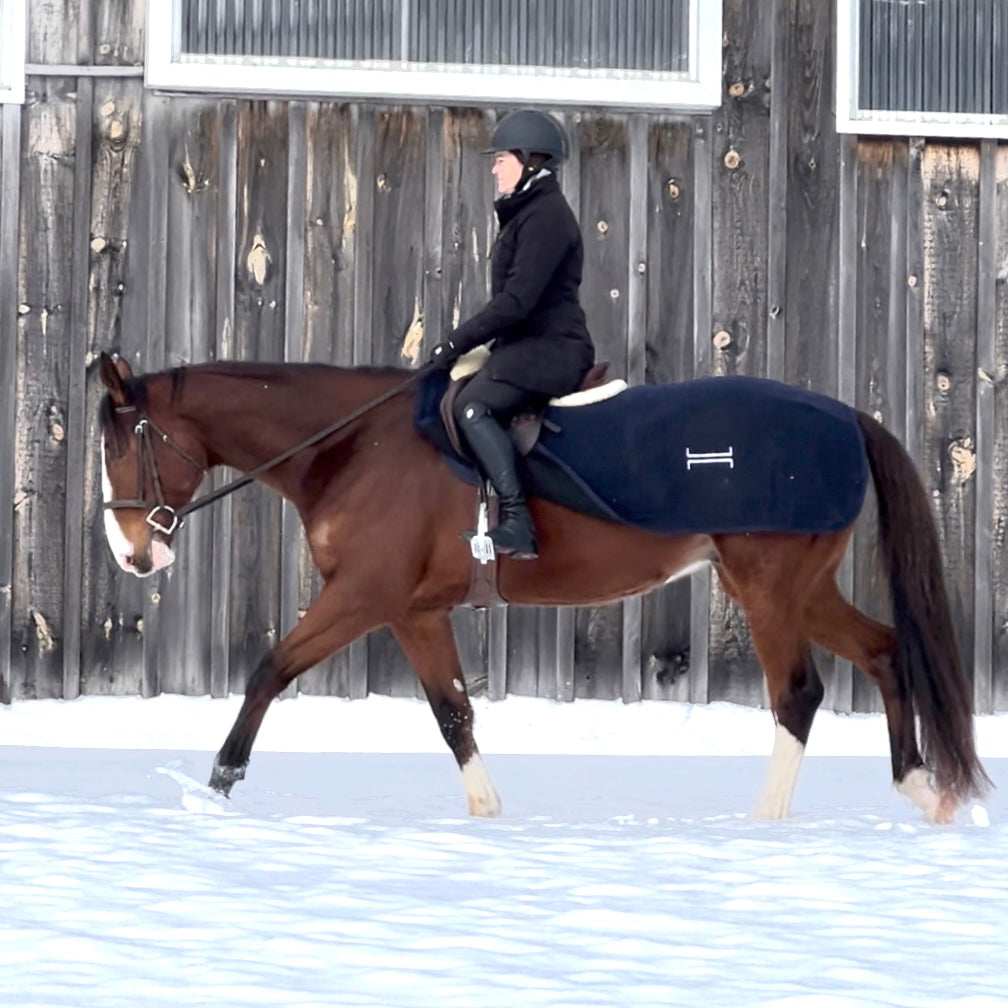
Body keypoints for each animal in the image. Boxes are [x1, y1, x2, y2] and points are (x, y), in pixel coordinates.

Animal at [96, 350, 991, 822]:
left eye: (122, 447)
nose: (136, 557)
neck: (352, 446)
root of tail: (844, 418)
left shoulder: (362, 596)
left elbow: (270, 670)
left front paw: (219, 783)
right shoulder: (413, 612)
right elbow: (452, 713)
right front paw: (488, 814)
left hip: (768, 589)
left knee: (797, 694)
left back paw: (766, 822)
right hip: (801, 588)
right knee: (885, 650)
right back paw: (921, 788)